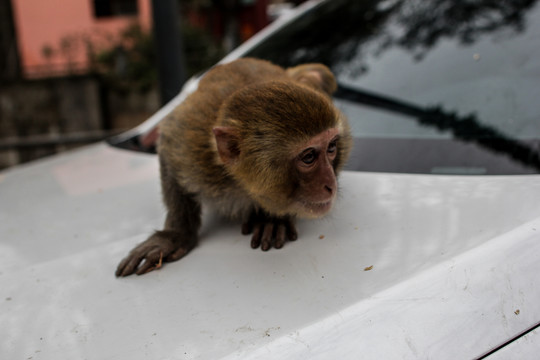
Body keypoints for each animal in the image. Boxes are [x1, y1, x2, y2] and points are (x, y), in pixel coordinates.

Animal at [116, 57, 352, 278]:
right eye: (309, 157)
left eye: (331, 147)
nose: (331, 184)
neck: (241, 183)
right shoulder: (192, 150)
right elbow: (167, 147)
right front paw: (176, 234)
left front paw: (272, 218)